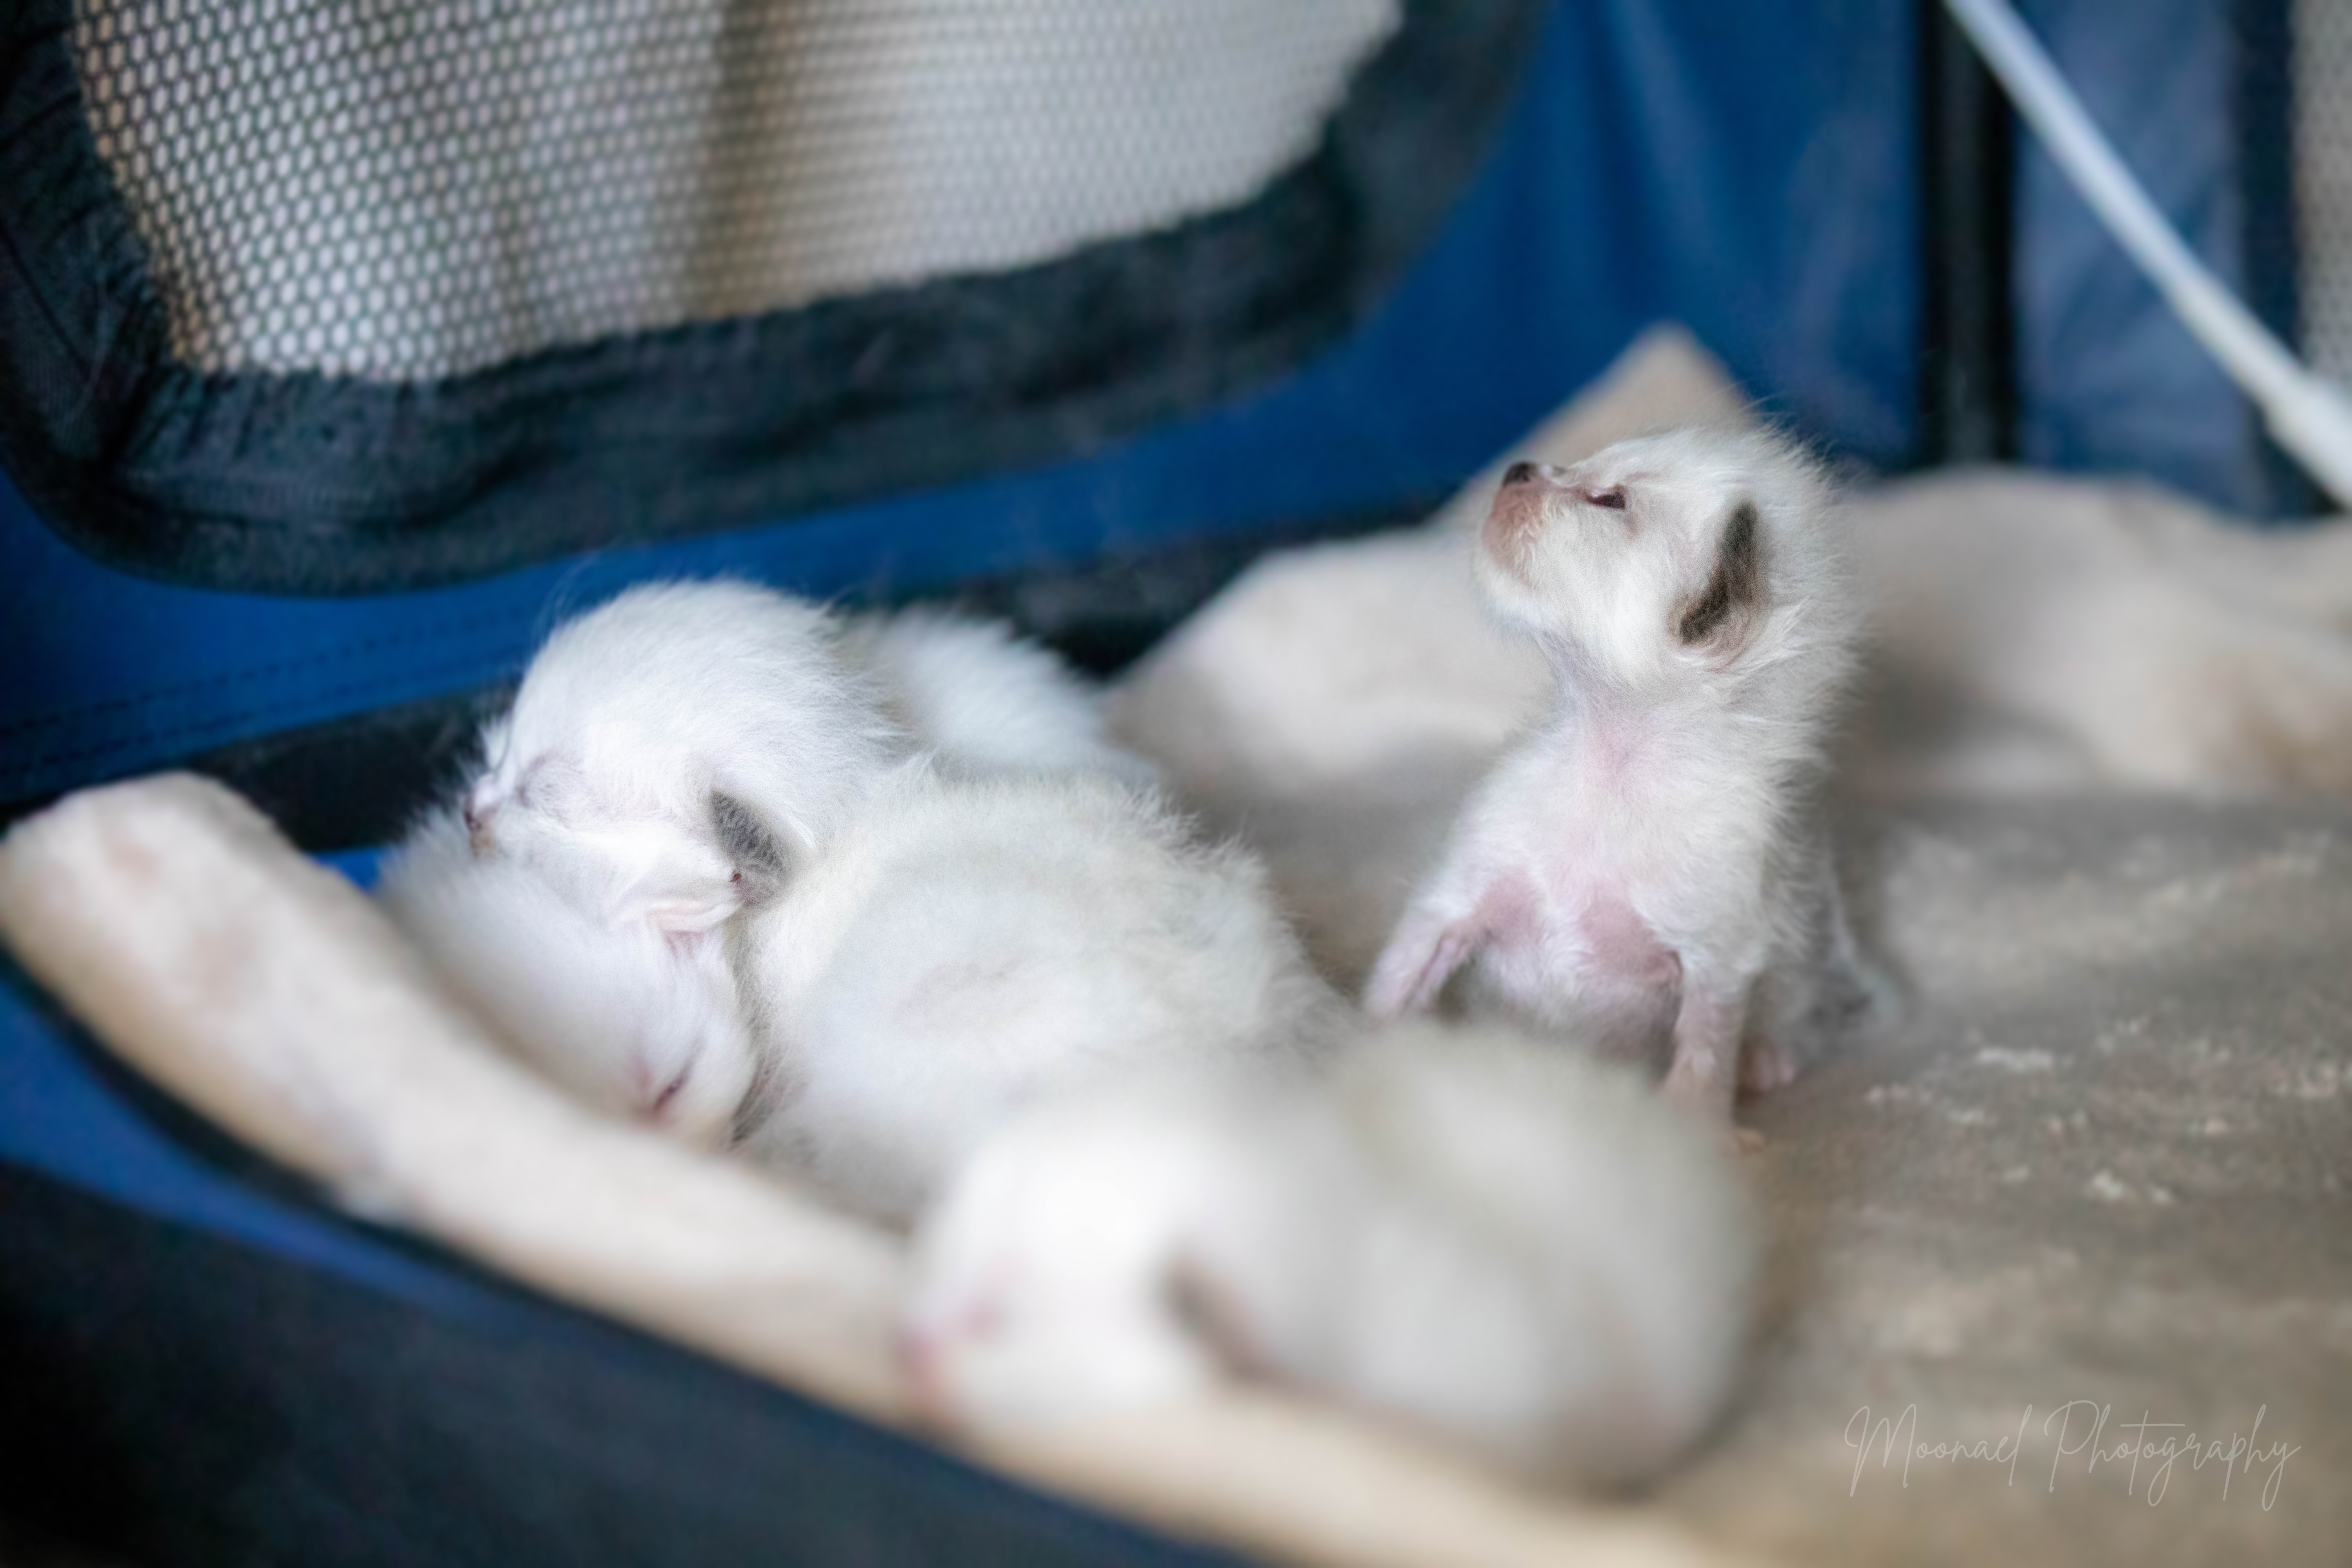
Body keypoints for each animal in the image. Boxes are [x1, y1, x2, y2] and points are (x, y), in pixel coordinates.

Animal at [1363, 429, 1871, 1123]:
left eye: (1608, 500)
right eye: (1583, 464)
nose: (1519, 469)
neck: (1613, 771)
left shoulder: (1718, 957)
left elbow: (1704, 1055)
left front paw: (1691, 1129)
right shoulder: (1452, 899)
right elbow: (1395, 983)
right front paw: (1350, 1059)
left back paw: (1765, 1059)